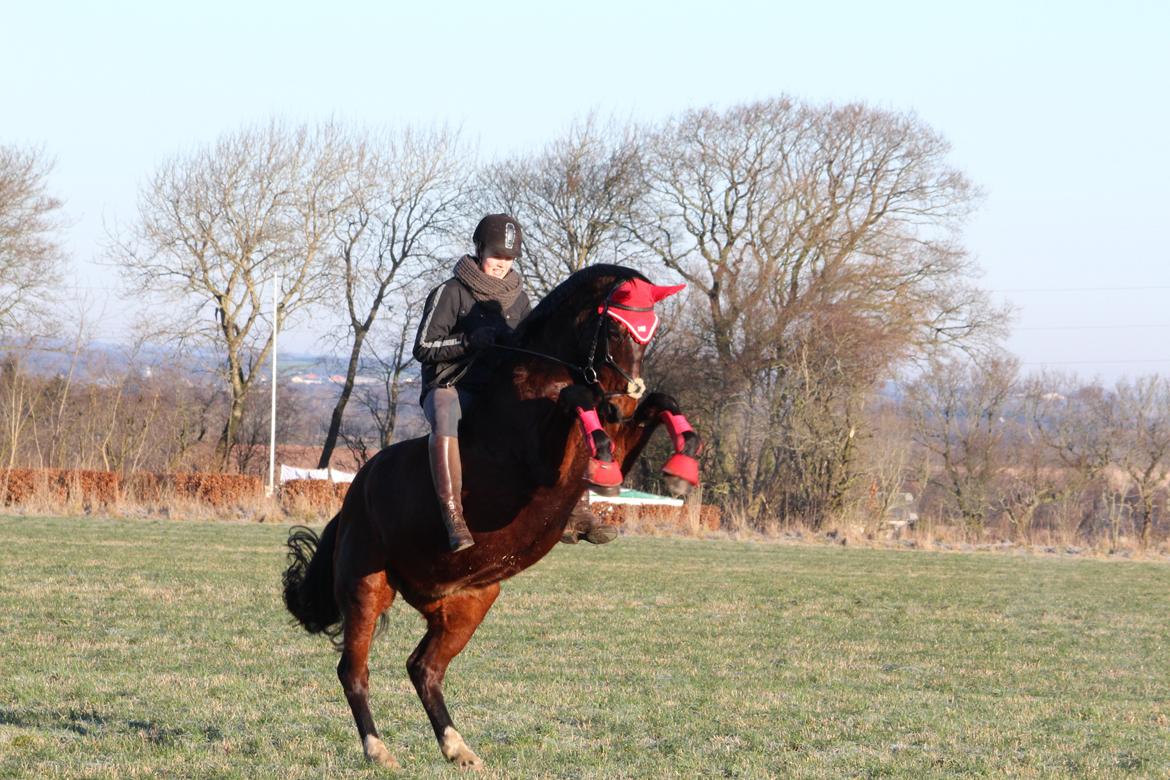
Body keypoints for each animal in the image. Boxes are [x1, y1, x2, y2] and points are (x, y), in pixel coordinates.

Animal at [283, 265, 697, 771]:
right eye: (616, 328)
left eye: (649, 333)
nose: (622, 403)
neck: (544, 374)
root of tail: (351, 498)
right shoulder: (543, 463)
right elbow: (577, 398)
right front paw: (610, 456)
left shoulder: (618, 435)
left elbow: (662, 402)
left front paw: (682, 468)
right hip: (367, 587)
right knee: (353, 671)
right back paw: (378, 750)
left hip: (469, 599)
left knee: (423, 668)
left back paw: (457, 747)